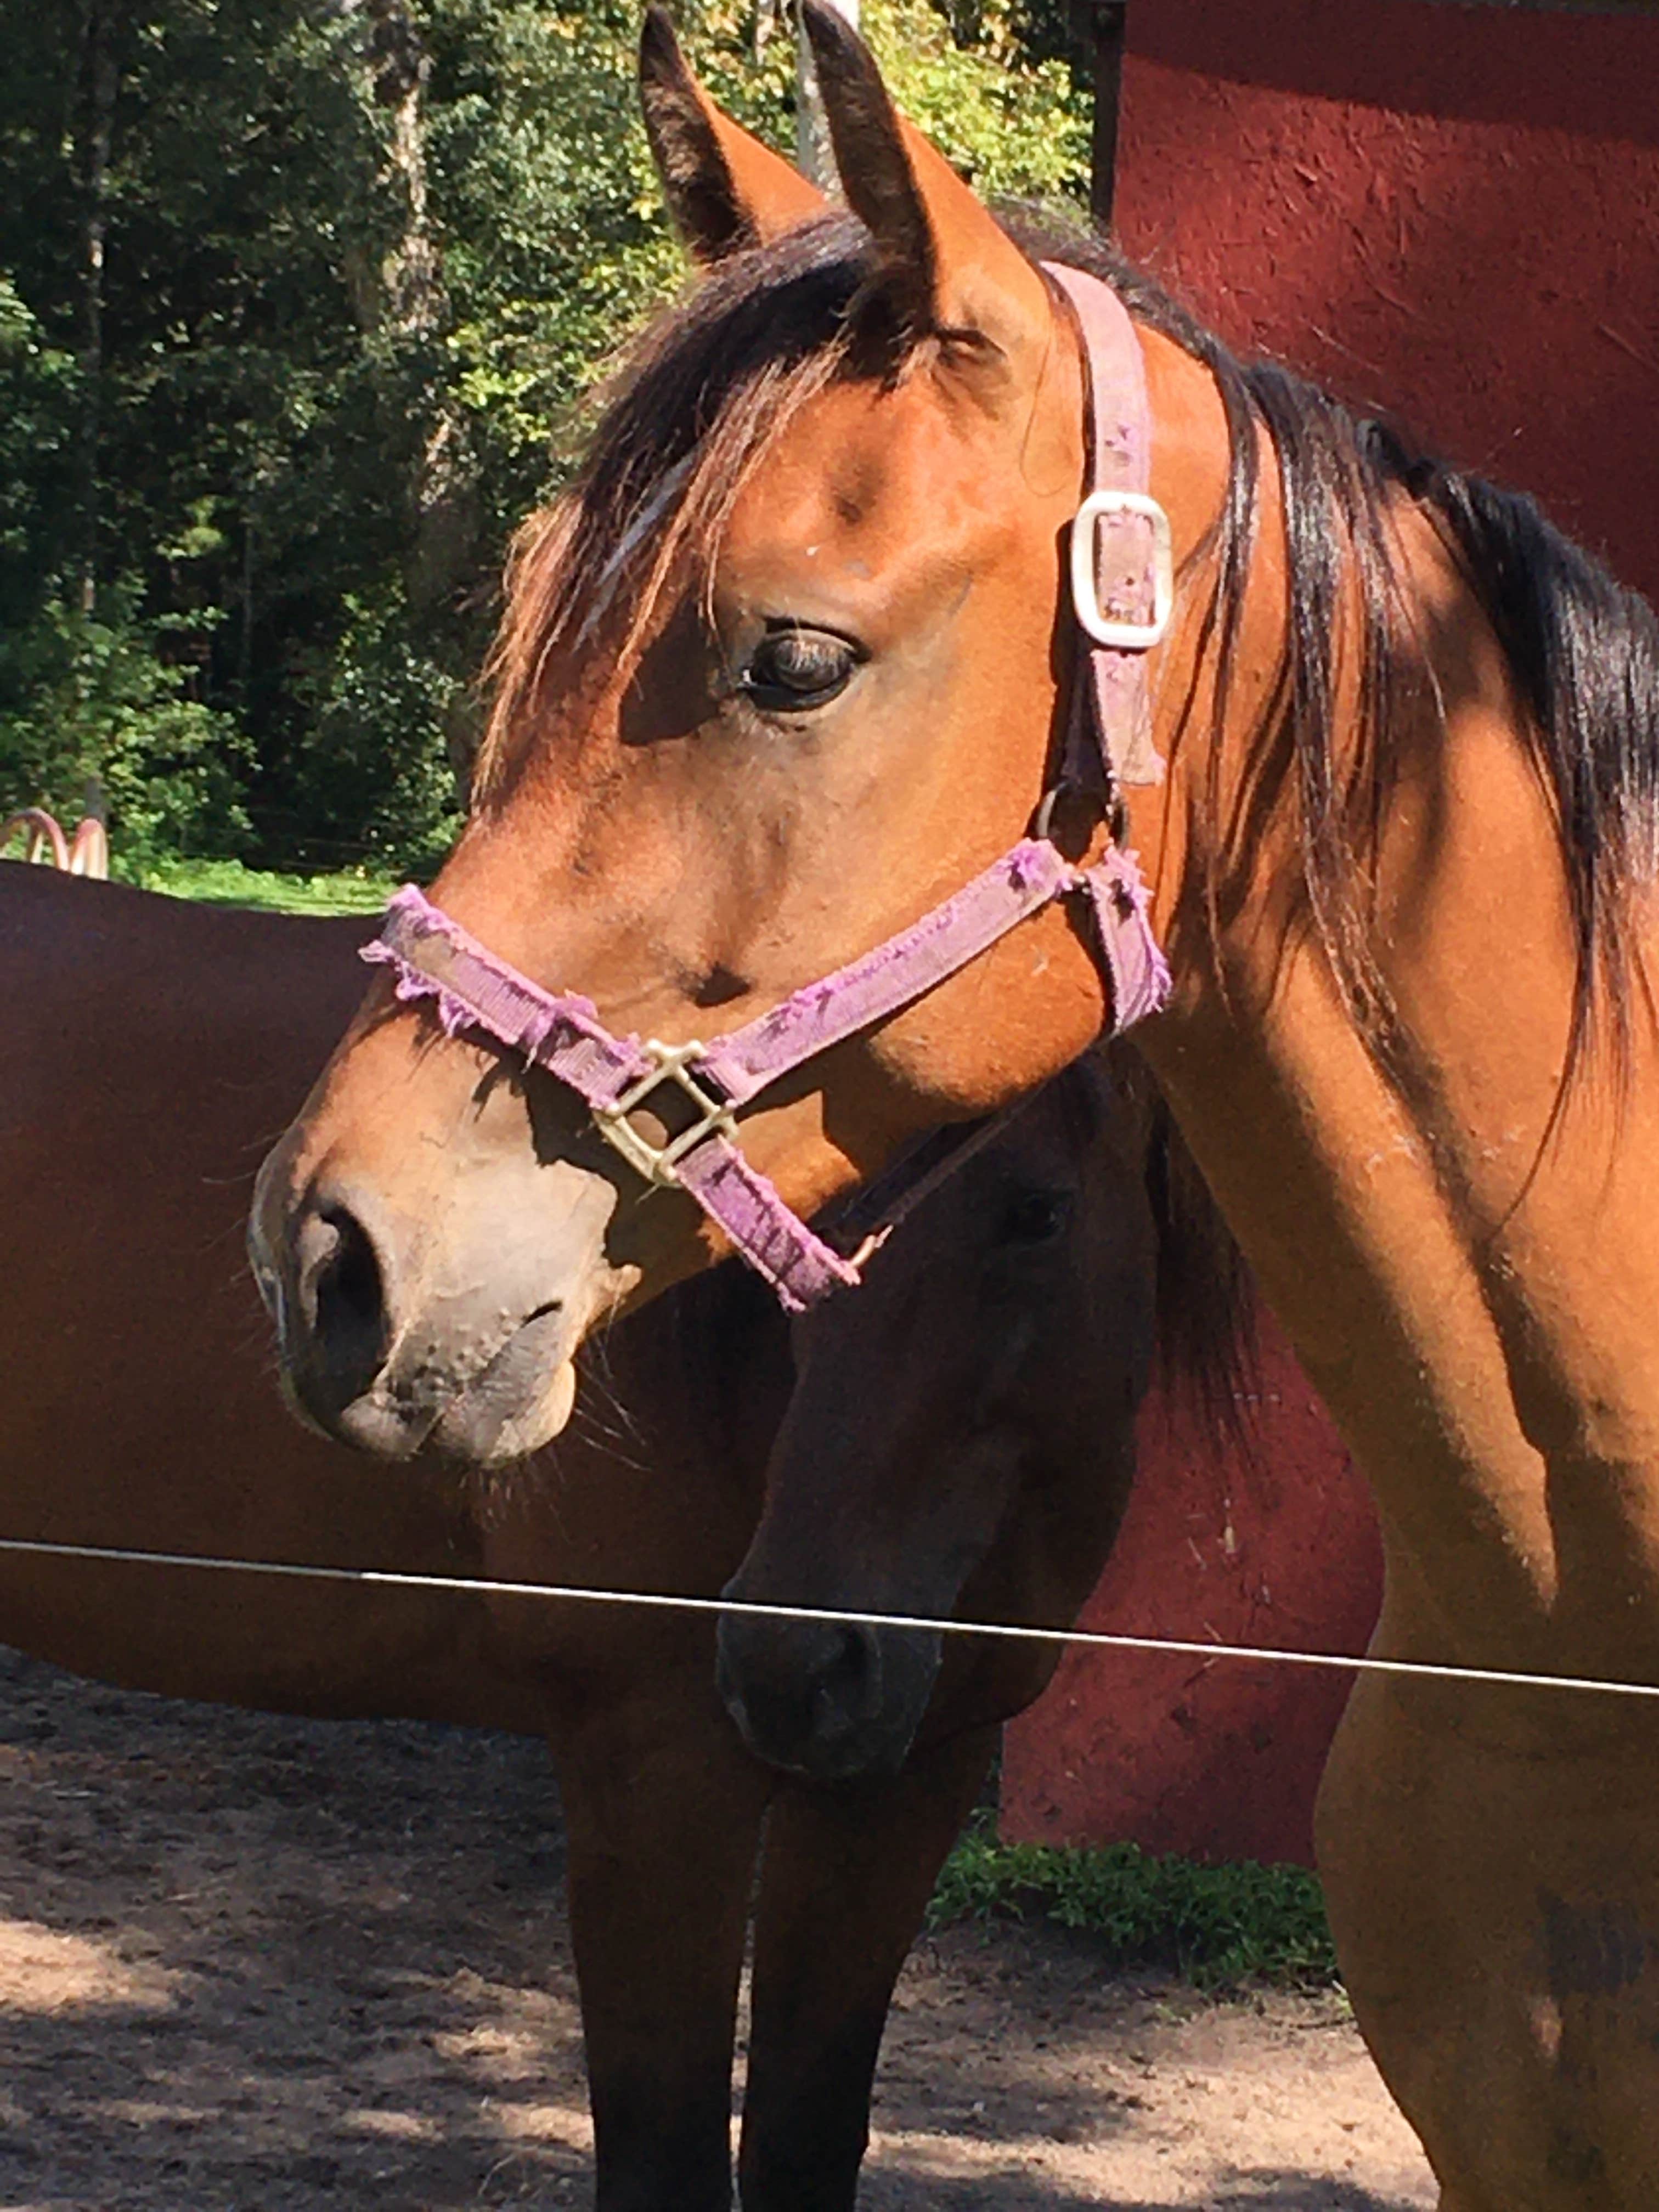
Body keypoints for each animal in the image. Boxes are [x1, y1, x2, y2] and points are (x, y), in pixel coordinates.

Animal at [3, 862, 1239, 2208]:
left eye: (1040, 1213)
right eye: (809, 1223)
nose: (797, 1661)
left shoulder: (912, 1776)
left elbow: (808, 2132)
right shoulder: (657, 1771)